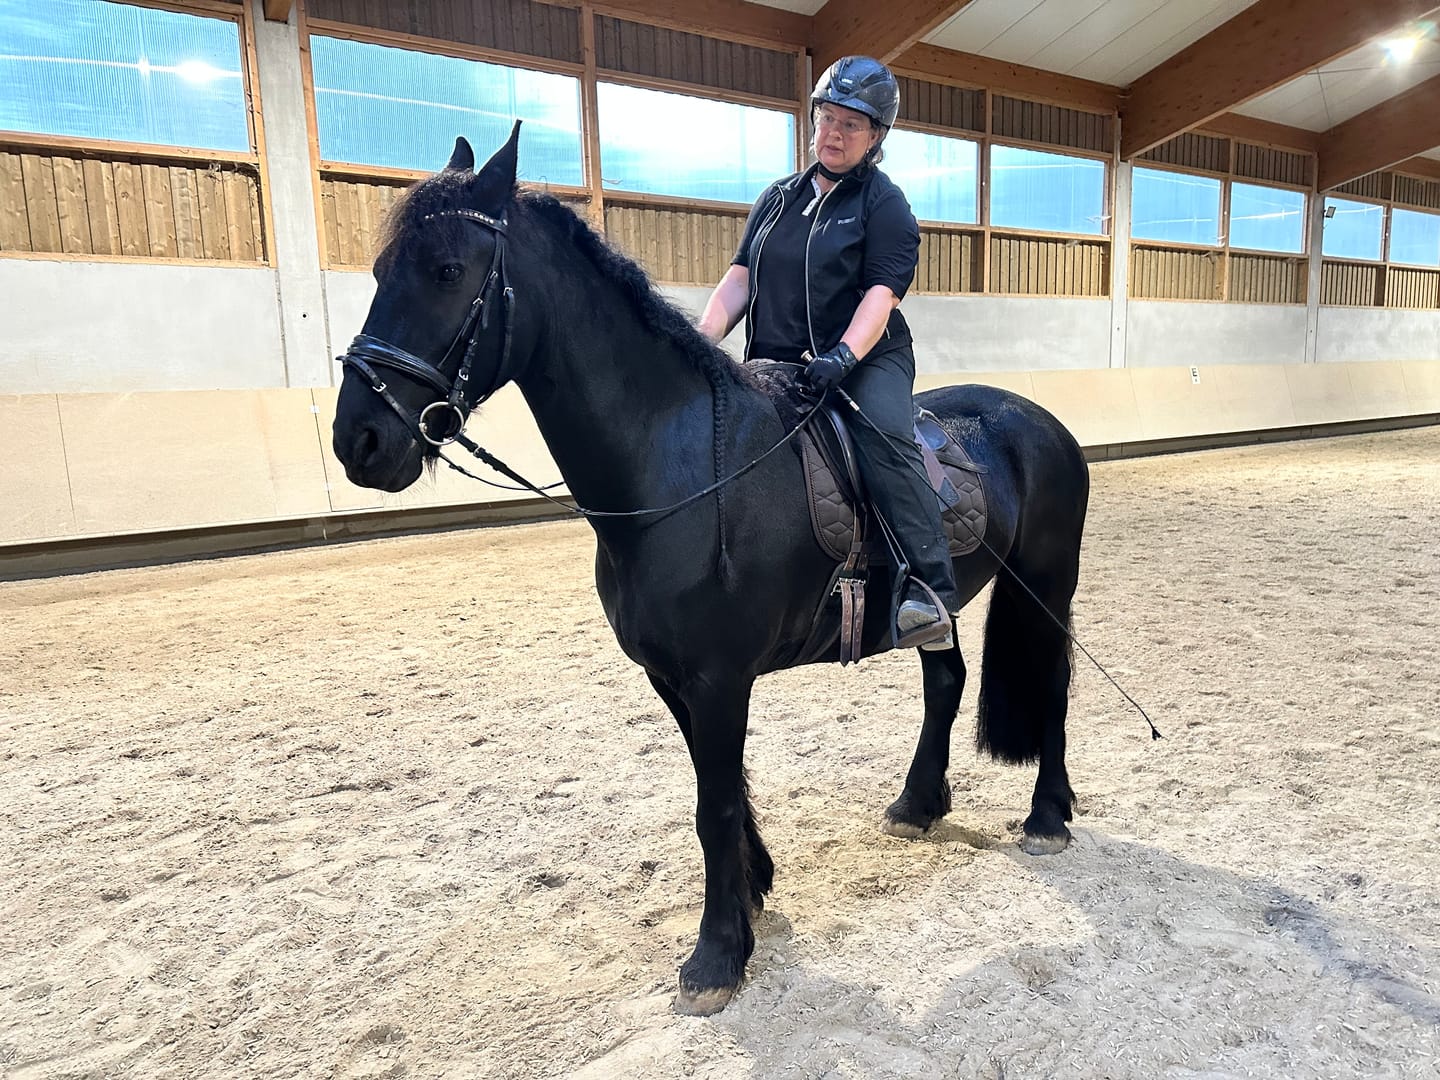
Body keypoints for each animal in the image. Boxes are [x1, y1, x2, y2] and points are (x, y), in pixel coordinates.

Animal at [331, 127, 1090, 1015]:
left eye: (448, 270)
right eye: (381, 272)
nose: (358, 439)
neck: (675, 465)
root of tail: (1038, 419)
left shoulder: (721, 678)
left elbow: (714, 803)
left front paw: (717, 955)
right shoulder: (672, 677)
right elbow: (715, 796)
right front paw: (751, 893)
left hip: (1049, 585)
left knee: (1053, 683)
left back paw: (1047, 817)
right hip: (940, 603)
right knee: (947, 680)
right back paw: (917, 803)